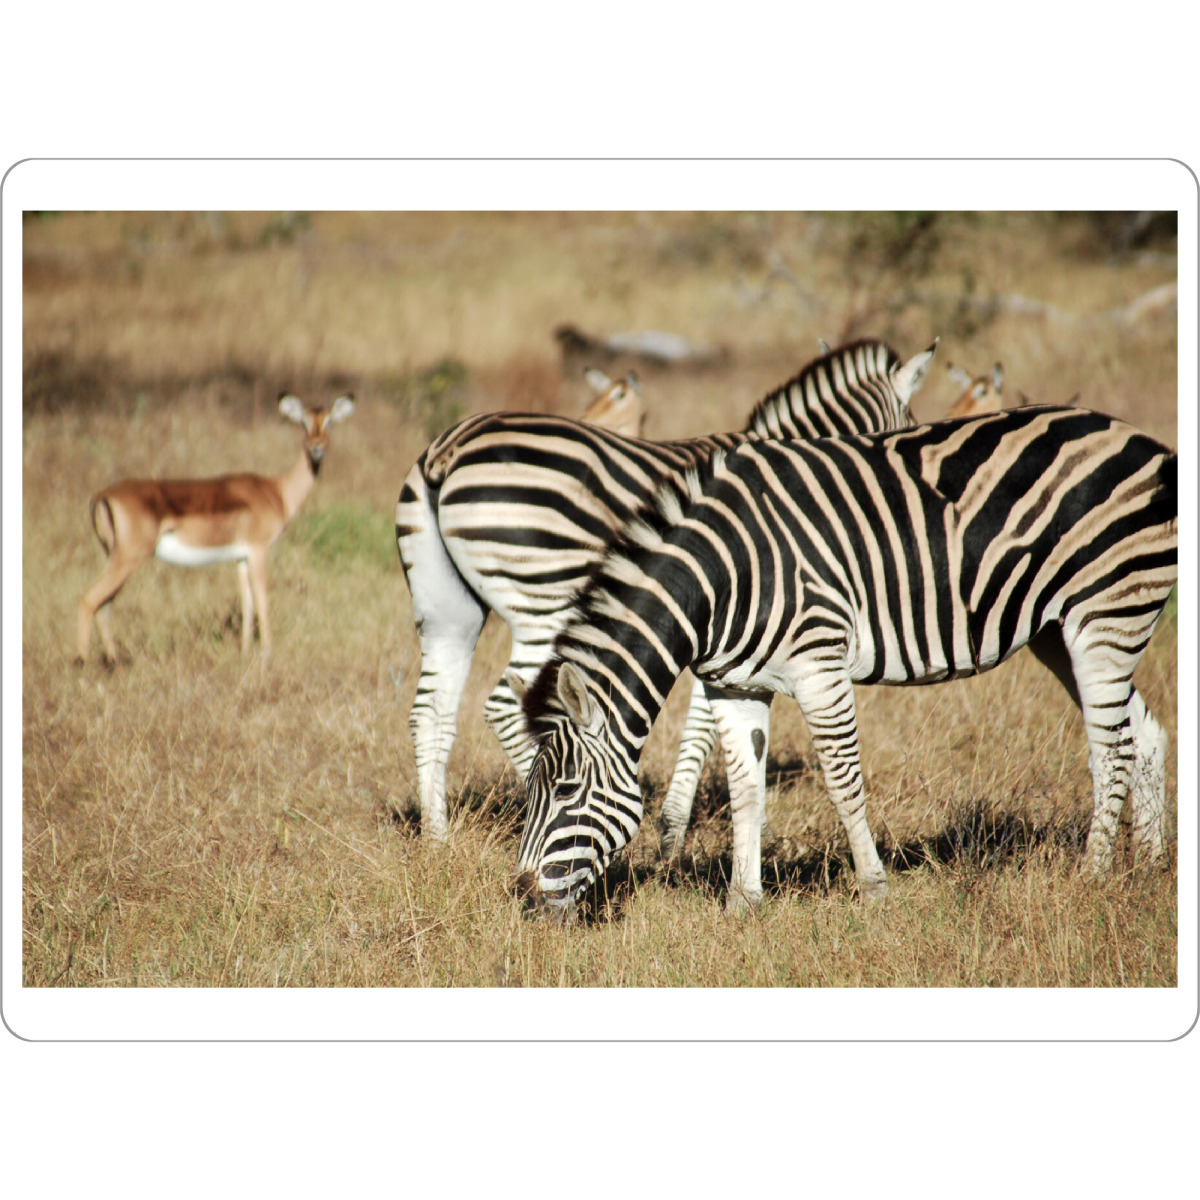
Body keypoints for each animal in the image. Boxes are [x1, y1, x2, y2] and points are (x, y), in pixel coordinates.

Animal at [395, 338, 938, 843]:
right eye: (907, 424)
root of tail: (446, 451)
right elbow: (706, 723)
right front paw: (685, 827)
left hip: (446, 610)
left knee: (429, 714)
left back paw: (437, 837)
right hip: (542, 602)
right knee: (506, 706)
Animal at [513, 406, 1177, 916]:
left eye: (566, 789)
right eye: (531, 791)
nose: (519, 896)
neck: (722, 578)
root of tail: (1146, 442)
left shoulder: (819, 665)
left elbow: (842, 780)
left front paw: (874, 890)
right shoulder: (733, 685)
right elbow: (746, 789)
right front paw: (741, 903)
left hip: (1106, 612)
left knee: (1111, 748)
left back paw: (1092, 877)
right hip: (1061, 628)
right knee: (1143, 733)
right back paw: (1148, 869)